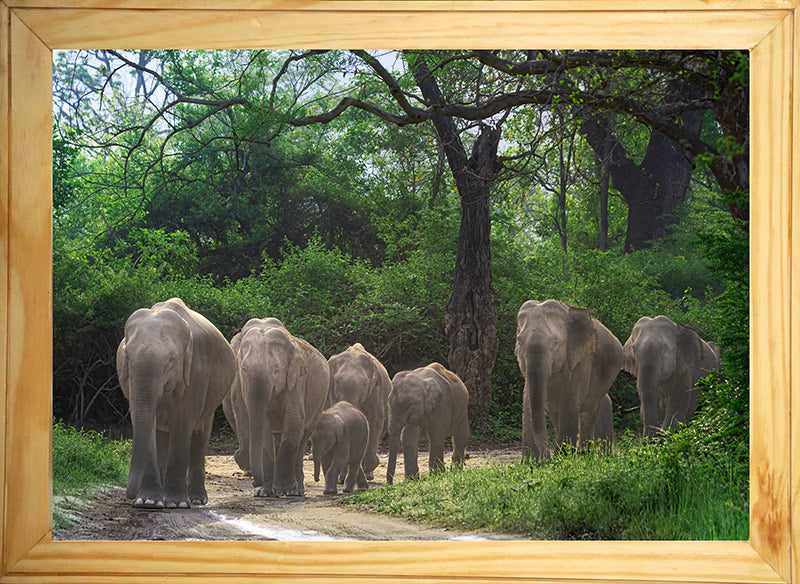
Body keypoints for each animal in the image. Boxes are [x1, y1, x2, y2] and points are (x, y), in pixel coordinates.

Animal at [116, 297, 236, 509]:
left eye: (171, 360)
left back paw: (197, 499)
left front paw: (175, 504)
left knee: (200, 433)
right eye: (128, 357)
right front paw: (148, 502)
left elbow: (182, 423)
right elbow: (146, 423)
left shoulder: (196, 373)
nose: (129, 495)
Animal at [226, 318, 329, 497]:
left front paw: (285, 491)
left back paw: (297, 490)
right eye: (244, 369)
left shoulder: (297, 381)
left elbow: (294, 422)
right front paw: (264, 493)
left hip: (320, 402)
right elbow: (265, 430)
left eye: (276, 371)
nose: (254, 483)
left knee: (303, 436)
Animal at [327, 343, 391, 481]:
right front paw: (342, 477)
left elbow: (375, 421)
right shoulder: (332, 393)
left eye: (364, 384)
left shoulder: (375, 392)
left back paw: (368, 473)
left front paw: (368, 471)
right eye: (337, 381)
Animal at [515, 299, 624, 462]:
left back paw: (585, 456)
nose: (546, 459)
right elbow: (534, 401)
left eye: (555, 343)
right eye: (520, 343)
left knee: (590, 412)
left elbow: (570, 404)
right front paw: (535, 463)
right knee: (556, 413)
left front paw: (562, 459)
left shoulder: (581, 360)